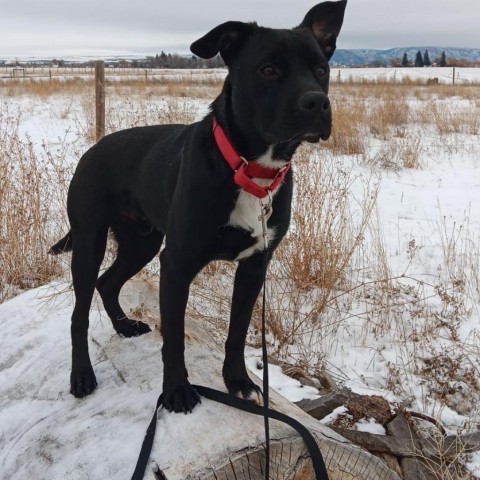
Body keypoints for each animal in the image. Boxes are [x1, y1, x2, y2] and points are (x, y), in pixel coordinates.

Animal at [50, 0, 346, 412]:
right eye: (268, 69)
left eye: (321, 69)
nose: (317, 102)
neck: (248, 169)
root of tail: (93, 148)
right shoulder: (176, 264)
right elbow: (173, 339)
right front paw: (176, 391)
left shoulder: (255, 265)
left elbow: (238, 330)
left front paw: (238, 381)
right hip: (89, 240)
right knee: (80, 311)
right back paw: (81, 375)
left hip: (141, 242)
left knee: (107, 282)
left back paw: (125, 326)